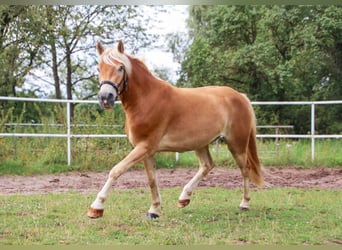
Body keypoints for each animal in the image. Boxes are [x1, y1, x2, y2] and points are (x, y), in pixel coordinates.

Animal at [87, 40, 264, 219]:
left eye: (120, 68)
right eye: (99, 68)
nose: (105, 97)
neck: (146, 99)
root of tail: (240, 96)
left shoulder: (144, 147)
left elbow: (116, 170)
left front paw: (96, 208)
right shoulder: (146, 151)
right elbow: (152, 180)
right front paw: (153, 210)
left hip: (236, 144)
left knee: (245, 169)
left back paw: (244, 204)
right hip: (200, 143)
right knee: (207, 165)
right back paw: (184, 198)